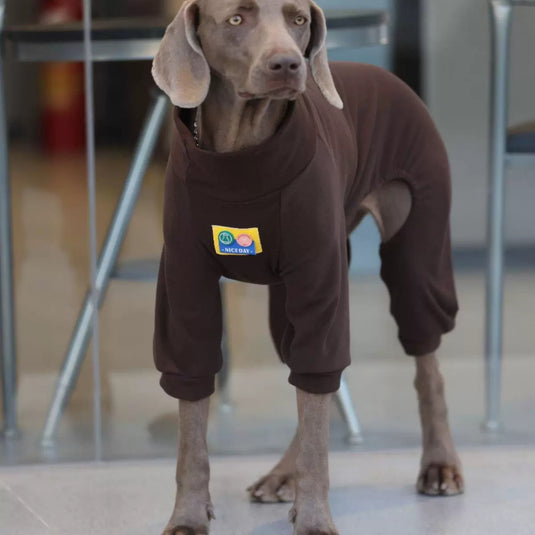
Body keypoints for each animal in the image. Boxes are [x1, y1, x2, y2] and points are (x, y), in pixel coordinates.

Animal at [152, 1, 464, 535]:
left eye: (298, 20)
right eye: (236, 20)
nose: (288, 64)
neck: (242, 151)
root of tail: (390, 76)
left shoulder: (320, 279)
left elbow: (318, 404)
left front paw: (315, 518)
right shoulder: (184, 284)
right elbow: (192, 421)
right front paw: (189, 515)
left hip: (416, 250)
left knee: (424, 361)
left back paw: (439, 464)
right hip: (289, 300)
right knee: (307, 377)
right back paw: (283, 475)